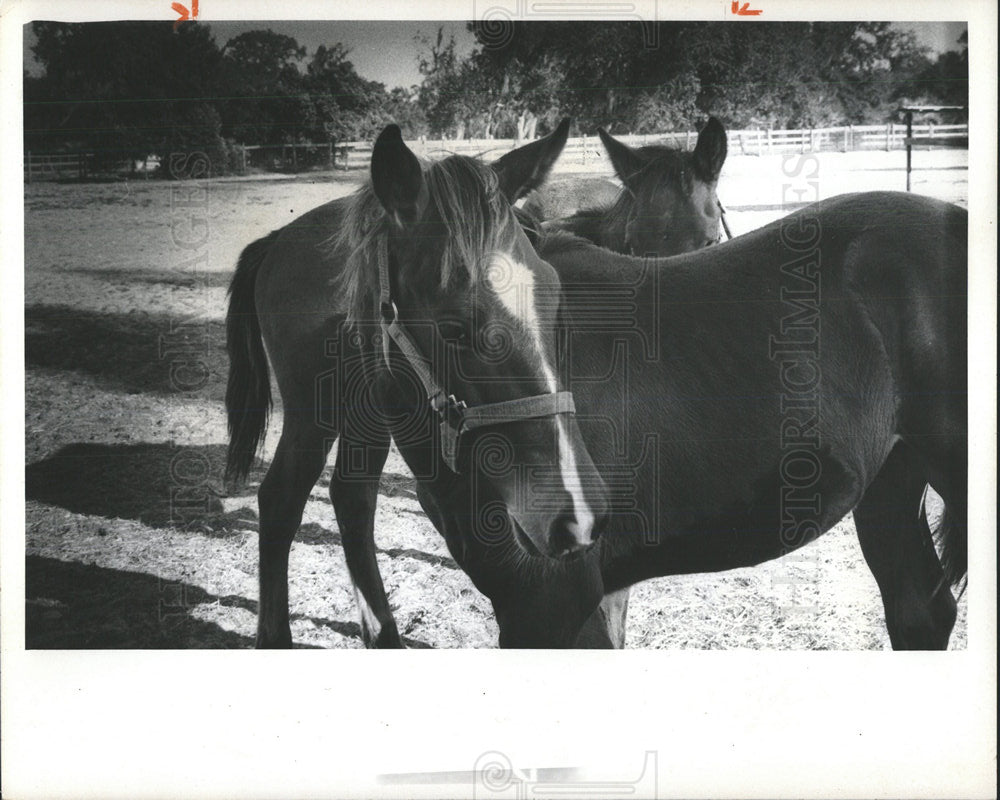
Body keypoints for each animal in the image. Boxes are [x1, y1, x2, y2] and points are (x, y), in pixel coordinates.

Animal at [227, 122, 616, 648]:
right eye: (452, 329)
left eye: (555, 299)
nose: (581, 517)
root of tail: (278, 240)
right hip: (313, 416)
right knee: (281, 501)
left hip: (367, 409)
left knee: (352, 499)